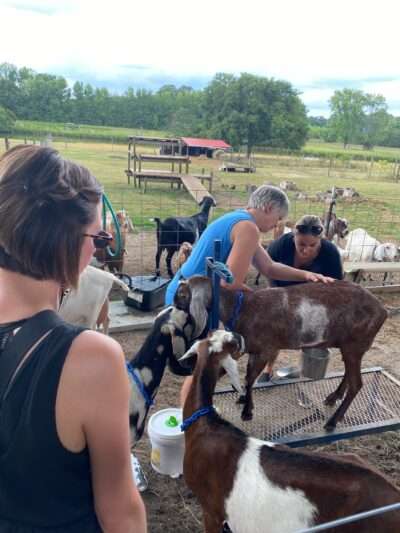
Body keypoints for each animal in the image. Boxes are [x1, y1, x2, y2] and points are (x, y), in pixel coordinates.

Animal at [174, 276, 387, 429]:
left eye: (182, 295)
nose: (174, 308)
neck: (243, 309)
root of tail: (382, 310)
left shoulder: (265, 350)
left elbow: (250, 379)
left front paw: (247, 412)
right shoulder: (254, 351)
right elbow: (248, 378)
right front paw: (243, 400)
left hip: (355, 345)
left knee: (356, 384)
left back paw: (332, 421)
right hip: (349, 347)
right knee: (349, 375)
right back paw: (332, 398)